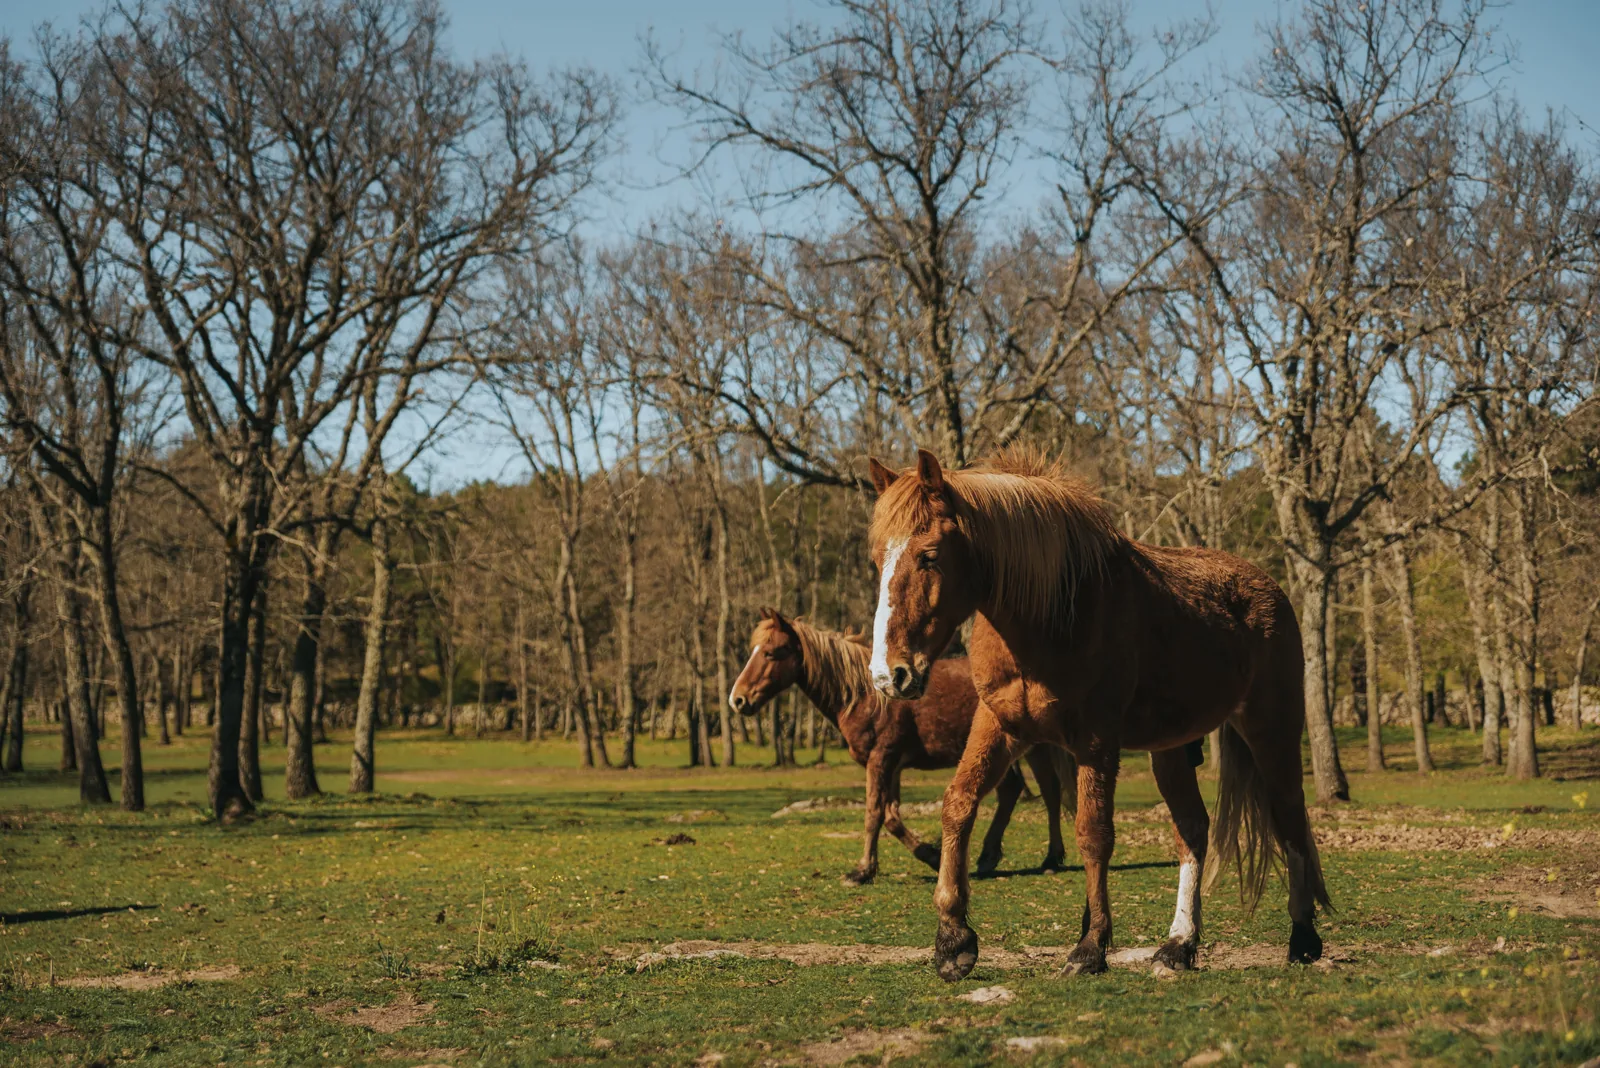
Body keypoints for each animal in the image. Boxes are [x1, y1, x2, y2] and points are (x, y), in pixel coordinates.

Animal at [729, 608, 1077, 886]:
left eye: (772, 652)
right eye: (755, 649)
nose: (738, 699)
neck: (866, 695)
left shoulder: (880, 759)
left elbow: (873, 814)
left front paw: (861, 871)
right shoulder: (892, 764)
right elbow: (891, 816)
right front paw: (931, 856)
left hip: (1032, 748)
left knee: (1049, 792)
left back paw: (1050, 859)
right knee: (1015, 791)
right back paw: (990, 857)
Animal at [865, 448, 1329, 981]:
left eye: (930, 555)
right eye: (877, 560)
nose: (889, 675)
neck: (1051, 614)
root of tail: (1269, 589)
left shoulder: (1096, 741)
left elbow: (1093, 834)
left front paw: (1090, 946)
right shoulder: (998, 726)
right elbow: (958, 804)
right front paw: (953, 939)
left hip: (1271, 731)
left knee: (1289, 816)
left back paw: (1303, 936)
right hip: (1171, 750)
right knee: (1193, 829)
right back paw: (1179, 945)